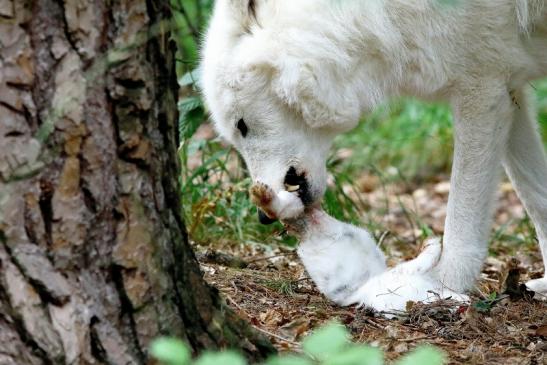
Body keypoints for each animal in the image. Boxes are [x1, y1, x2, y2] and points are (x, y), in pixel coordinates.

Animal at [201, 0, 547, 298]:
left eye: (241, 125)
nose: (262, 218)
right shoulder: (507, 90)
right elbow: (536, 196)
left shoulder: (481, 87)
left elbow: (462, 216)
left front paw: (443, 287)